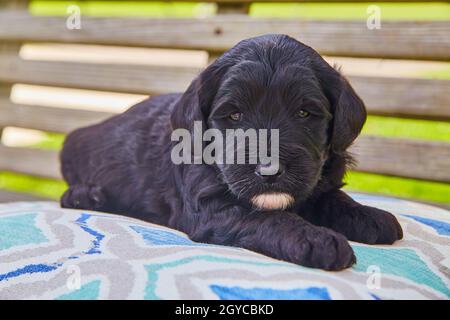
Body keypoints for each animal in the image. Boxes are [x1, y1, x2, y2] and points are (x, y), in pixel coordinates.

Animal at [61, 35, 402, 270]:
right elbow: (267, 217)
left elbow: (332, 198)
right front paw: (316, 239)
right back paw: (84, 195)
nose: (269, 168)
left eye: (305, 113)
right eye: (234, 115)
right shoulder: (213, 205)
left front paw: (369, 215)